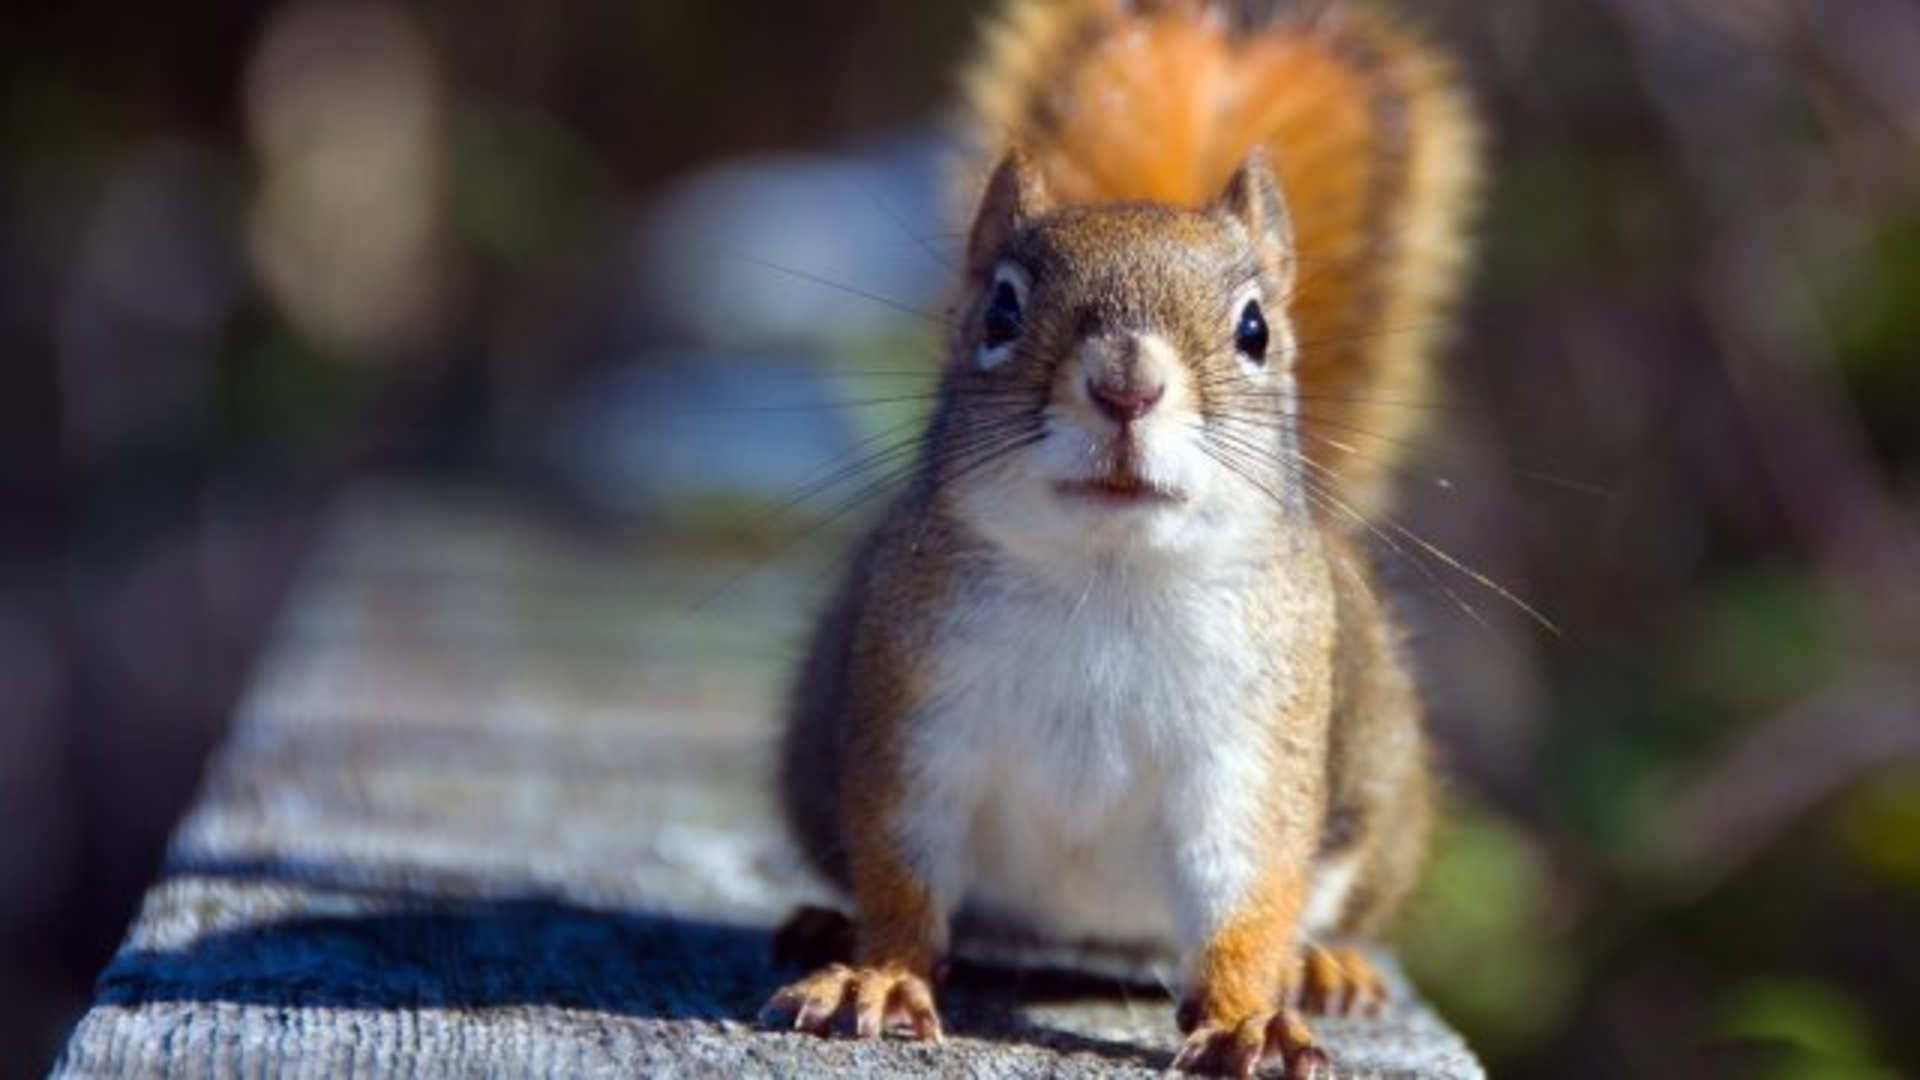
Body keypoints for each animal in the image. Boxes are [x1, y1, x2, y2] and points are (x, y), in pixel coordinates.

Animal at [758, 0, 1480, 1076]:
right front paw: (876, 975)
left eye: (1256, 329)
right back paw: (823, 926)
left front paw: (1247, 1017)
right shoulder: (915, 719)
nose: (1127, 385)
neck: (1110, 577)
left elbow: (1248, 896)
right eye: (1001, 309)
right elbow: (901, 870)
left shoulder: (1251, 755)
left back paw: (1321, 968)